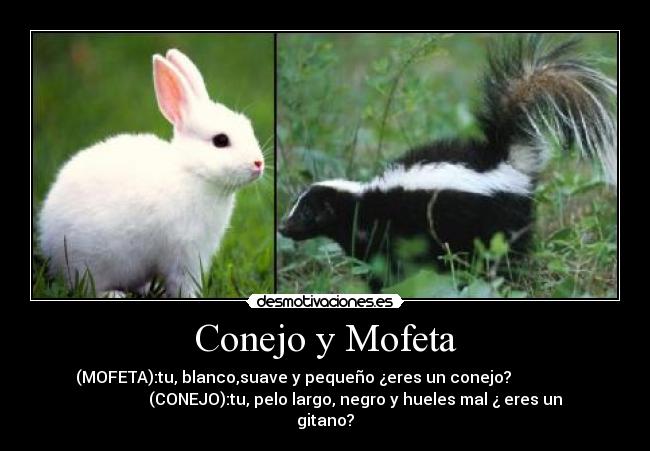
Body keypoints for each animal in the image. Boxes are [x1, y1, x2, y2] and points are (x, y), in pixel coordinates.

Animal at [38, 49, 265, 298]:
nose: (259, 163)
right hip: (92, 261)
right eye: (221, 140)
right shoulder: (185, 252)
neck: (193, 172)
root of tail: (48, 241)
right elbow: (184, 283)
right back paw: (115, 294)